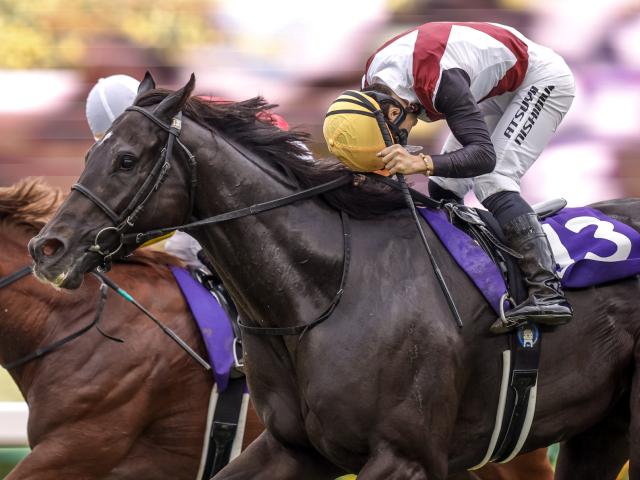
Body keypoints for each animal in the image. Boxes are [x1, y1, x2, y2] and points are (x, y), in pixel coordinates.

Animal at [29, 73, 638, 479]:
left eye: (127, 160)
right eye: (90, 154)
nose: (48, 248)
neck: (327, 289)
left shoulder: (404, 458)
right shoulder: (294, 448)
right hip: (598, 430)